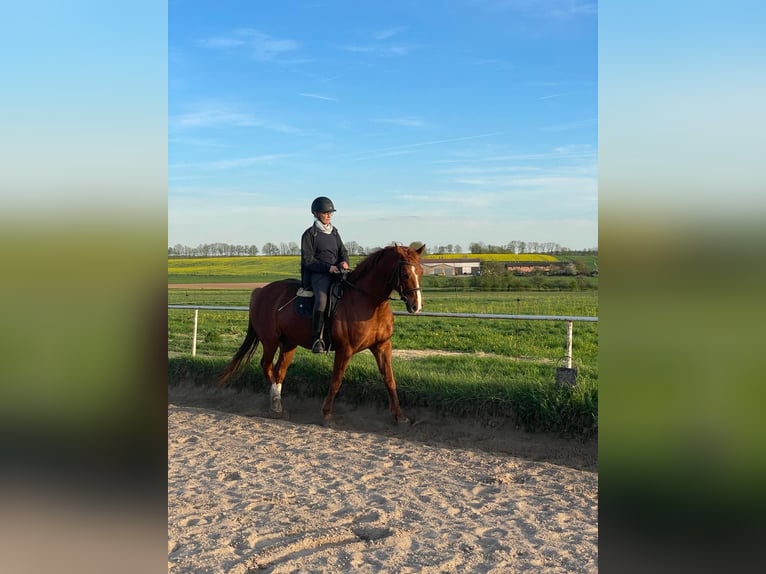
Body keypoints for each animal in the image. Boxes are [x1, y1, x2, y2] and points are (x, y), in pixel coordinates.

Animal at [217, 243, 425, 425]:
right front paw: (326, 414)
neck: (369, 302)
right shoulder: (345, 350)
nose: (416, 306)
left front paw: (400, 416)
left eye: (421, 273)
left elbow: (390, 380)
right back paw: (276, 404)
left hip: (289, 343)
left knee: (279, 371)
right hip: (270, 341)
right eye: (405, 274)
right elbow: (336, 381)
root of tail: (261, 291)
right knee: (266, 366)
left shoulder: (382, 346)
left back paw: (278, 404)